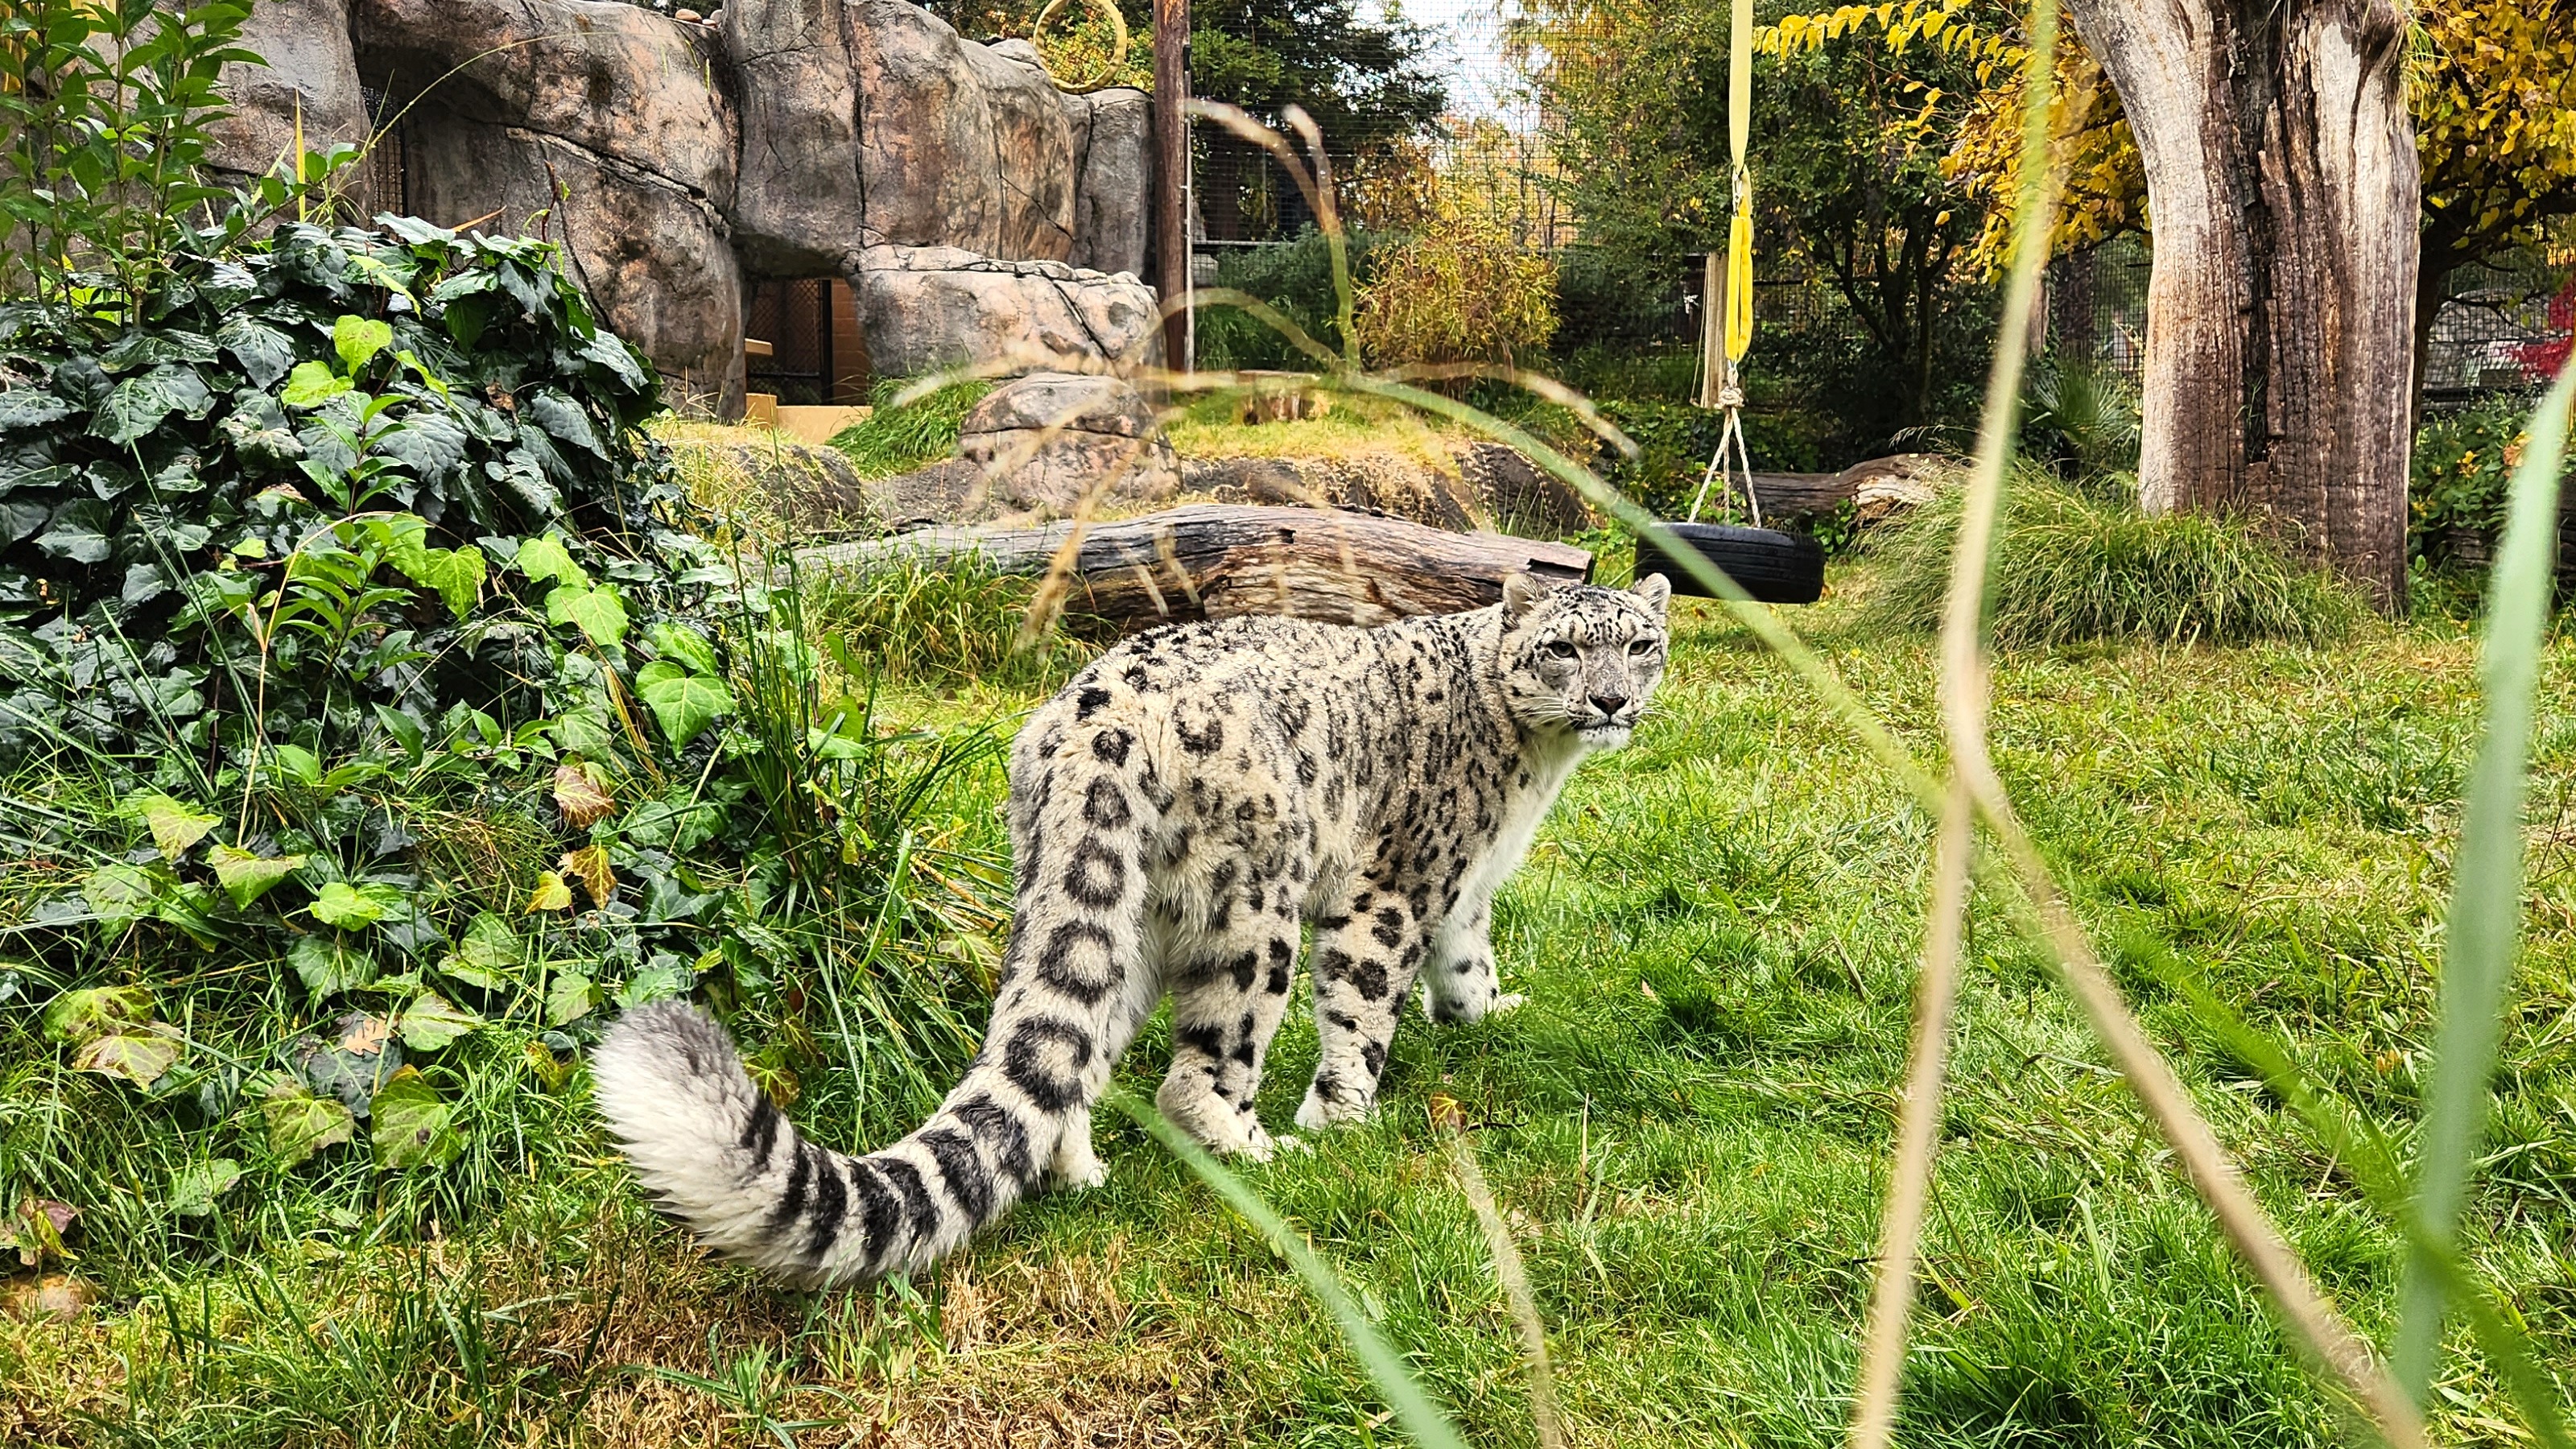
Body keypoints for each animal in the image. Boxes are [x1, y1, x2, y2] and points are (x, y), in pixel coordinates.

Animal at [592, 570, 1673, 1286]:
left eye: (1639, 643)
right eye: (1564, 647)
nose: (1611, 699)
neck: (1534, 774)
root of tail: (1089, 715)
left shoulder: (1467, 889)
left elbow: (1469, 962)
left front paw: (1491, 1011)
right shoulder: (1397, 887)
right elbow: (1365, 1008)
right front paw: (1345, 1120)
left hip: (1119, 918)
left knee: (1074, 1051)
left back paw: (1081, 1172)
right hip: (1260, 911)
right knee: (1196, 1070)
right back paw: (1260, 1153)